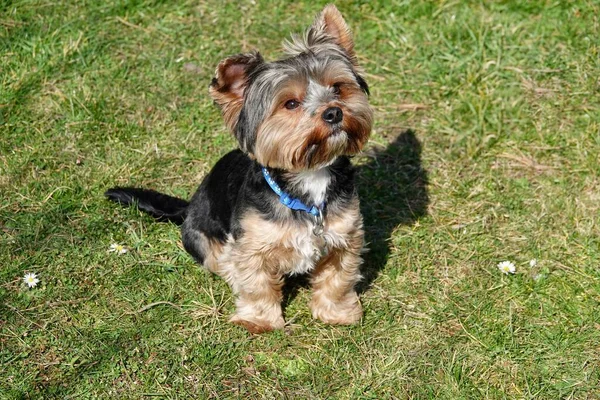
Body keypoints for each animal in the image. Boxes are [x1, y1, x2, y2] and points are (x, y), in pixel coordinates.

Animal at [105, 4, 372, 332]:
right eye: (291, 104)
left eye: (338, 88)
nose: (334, 112)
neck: (309, 176)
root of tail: (188, 207)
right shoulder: (250, 245)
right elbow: (256, 283)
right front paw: (259, 320)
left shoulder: (345, 236)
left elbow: (338, 279)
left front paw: (336, 312)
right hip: (202, 240)